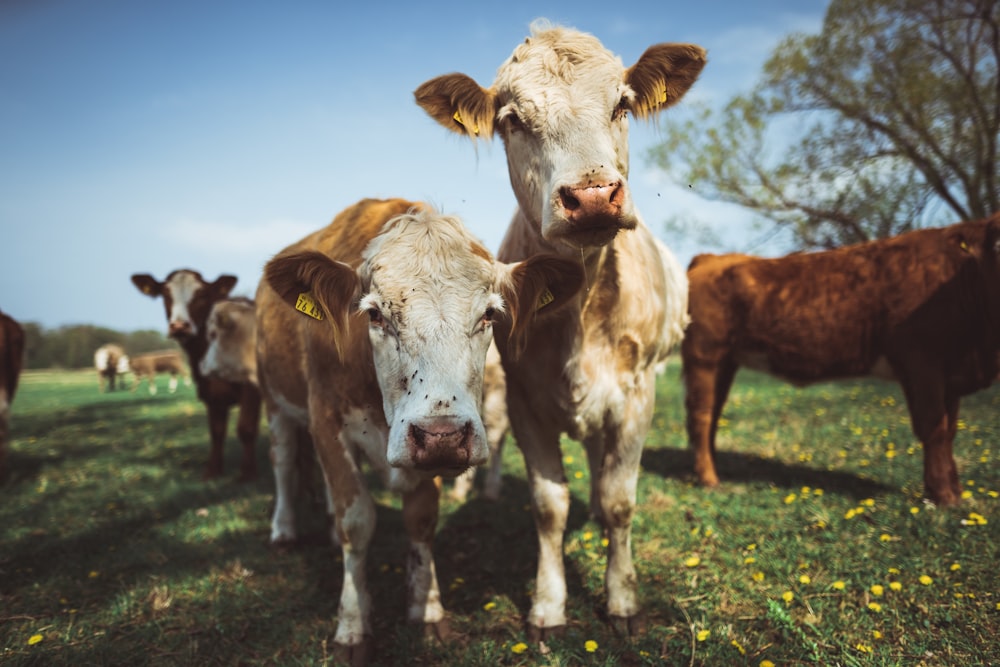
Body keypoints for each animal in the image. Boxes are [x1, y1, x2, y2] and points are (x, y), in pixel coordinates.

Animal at [130, 272, 262, 480]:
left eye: (202, 295)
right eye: (165, 295)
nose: (179, 326)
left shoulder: (251, 390)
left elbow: (246, 428)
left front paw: (248, 473)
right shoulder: (211, 394)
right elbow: (217, 431)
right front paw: (213, 470)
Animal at [258, 197, 584, 664]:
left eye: (489, 314)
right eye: (374, 314)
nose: (442, 434)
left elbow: (421, 519)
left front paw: (426, 609)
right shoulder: (326, 422)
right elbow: (356, 522)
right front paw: (352, 626)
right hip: (274, 401)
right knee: (283, 462)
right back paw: (284, 530)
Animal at [414, 19, 704, 636]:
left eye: (622, 105)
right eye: (512, 120)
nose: (593, 196)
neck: (583, 311)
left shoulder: (638, 392)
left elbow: (620, 498)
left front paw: (622, 599)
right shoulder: (525, 398)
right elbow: (549, 505)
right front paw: (548, 606)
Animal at [684, 214, 1000, 506]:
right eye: (997, 244)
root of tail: (711, 259)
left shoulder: (951, 374)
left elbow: (949, 431)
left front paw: (954, 492)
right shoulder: (923, 363)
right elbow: (934, 429)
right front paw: (944, 496)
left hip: (725, 361)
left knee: (713, 413)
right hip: (705, 355)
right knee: (701, 415)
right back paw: (709, 479)